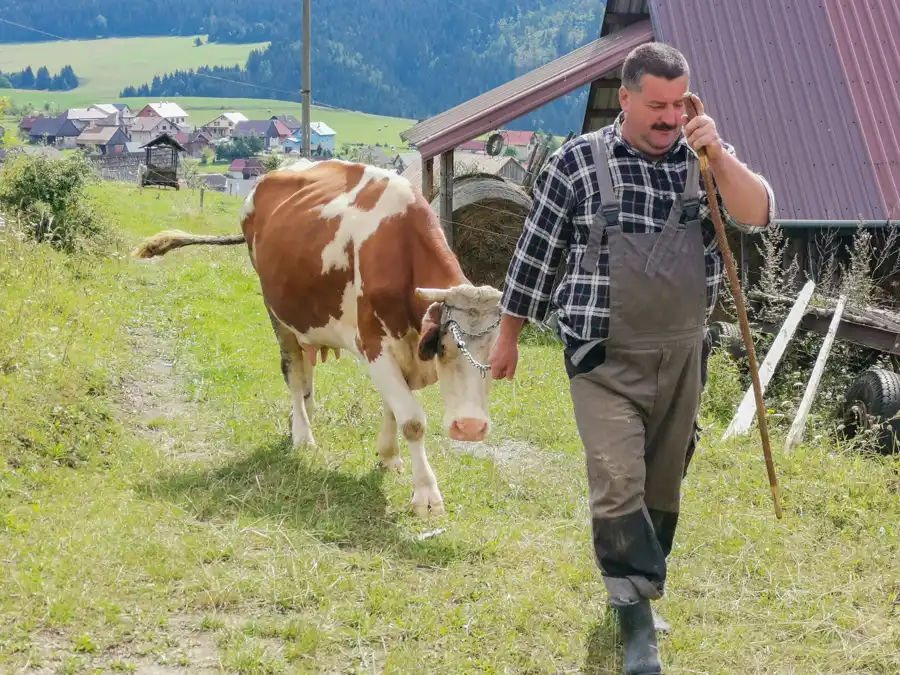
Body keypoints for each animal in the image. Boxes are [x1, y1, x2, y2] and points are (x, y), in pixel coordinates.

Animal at [132, 158, 506, 516]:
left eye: (493, 356)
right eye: (444, 346)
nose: (470, 427)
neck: (402, 251)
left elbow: (393, 406)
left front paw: (388, 455)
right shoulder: (375, 345)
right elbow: (412, 419)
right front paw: (427, 496)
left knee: (306, 370)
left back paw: (301, 418)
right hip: (276, 310)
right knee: (294, 372)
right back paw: (302, 434)